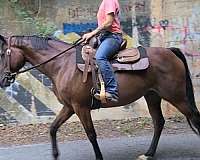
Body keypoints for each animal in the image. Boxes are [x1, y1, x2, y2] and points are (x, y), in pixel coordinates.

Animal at [0, 35, 200, 160]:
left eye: (2, 54)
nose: (2, 80)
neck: (62, 64)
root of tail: (170, 51)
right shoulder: (69, 107)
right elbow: (53, 128)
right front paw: (55, 155)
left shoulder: (80, 107)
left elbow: (91, 134)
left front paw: (98, 156)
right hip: (152, 96)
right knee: (159, 122)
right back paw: (148, 153)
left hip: (177, 97)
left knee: (194, 118)